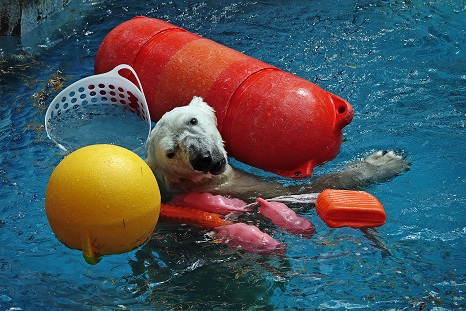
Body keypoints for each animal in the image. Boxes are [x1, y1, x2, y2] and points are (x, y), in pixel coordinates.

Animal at [145, 96, 408, 201]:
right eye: (171, 153)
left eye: (192, 120)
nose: (203, 158)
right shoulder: (232, 188)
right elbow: (305, 190)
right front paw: (383, 162)